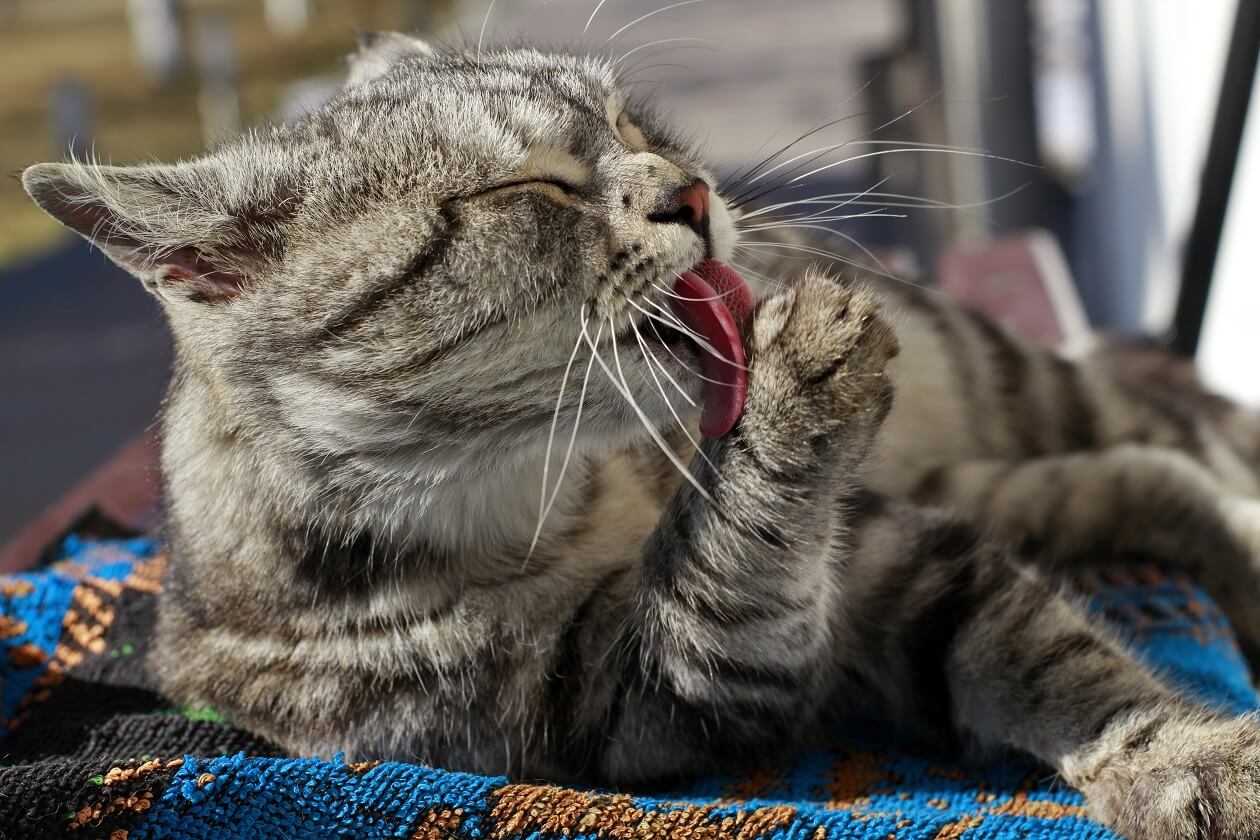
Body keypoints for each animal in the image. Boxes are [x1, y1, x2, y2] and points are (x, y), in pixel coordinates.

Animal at [22, 31, 1260, 840]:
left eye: (630, 125)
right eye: (529, 187)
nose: (695, 192)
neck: (555, 490)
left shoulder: (888, 553)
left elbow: (1055, 659)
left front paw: (1190, 756)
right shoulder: (654, 700)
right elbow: (731, 568)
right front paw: (789, 397)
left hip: (1019, 387)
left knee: (1175, 441)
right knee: (1151, 474)